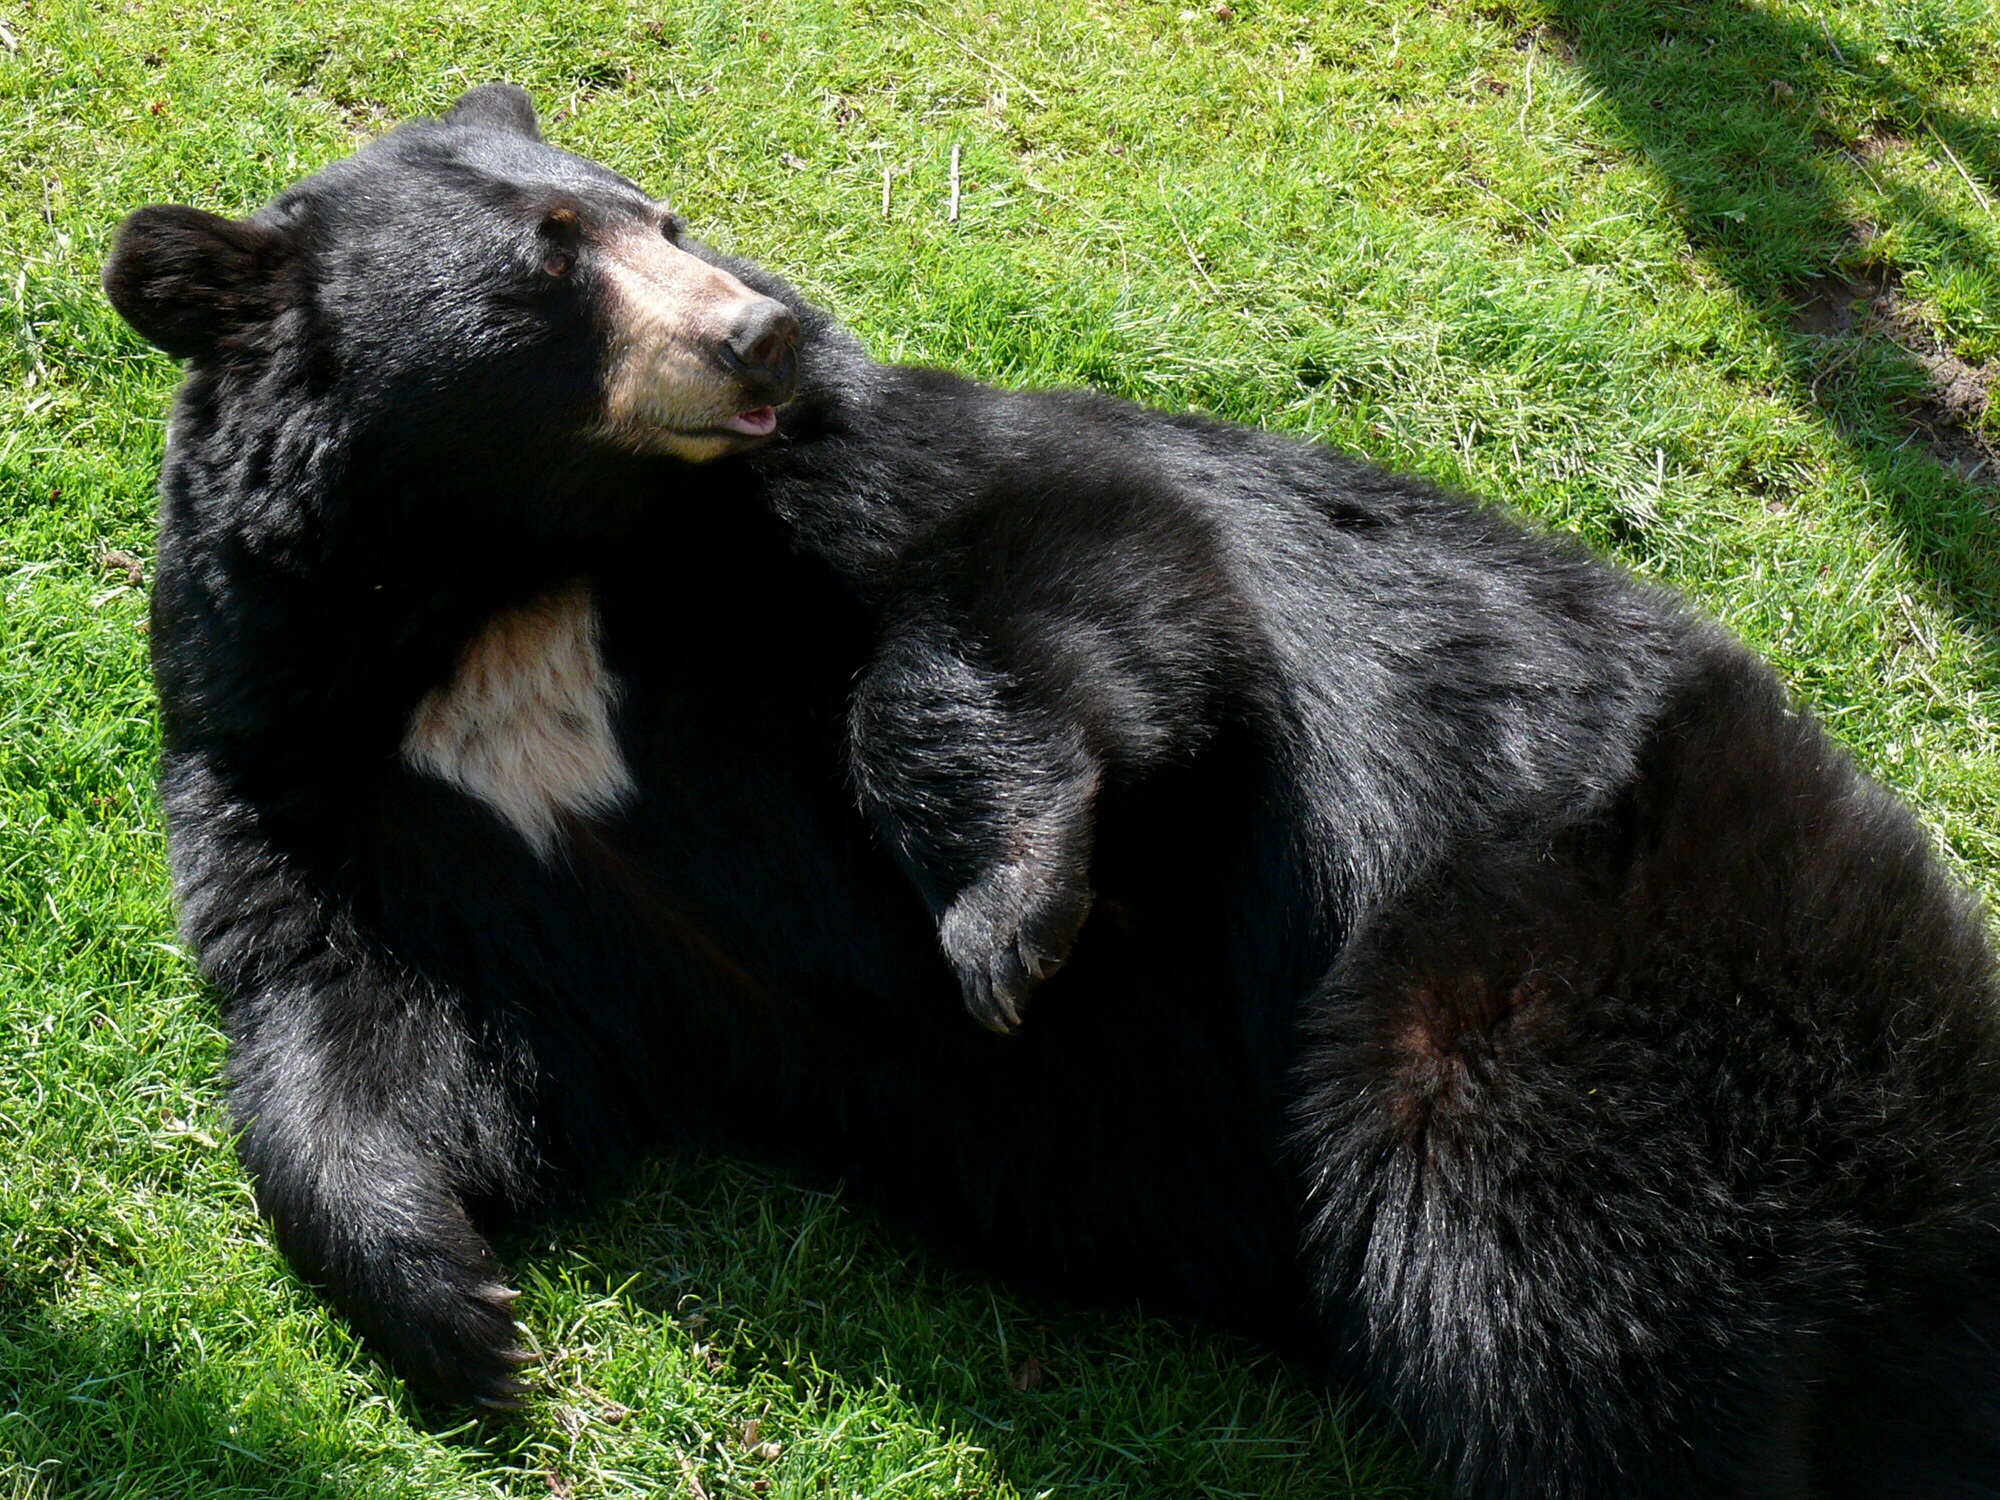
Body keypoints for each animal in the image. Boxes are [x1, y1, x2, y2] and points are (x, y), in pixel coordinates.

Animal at [101, 84, 2000, 1497]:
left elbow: (1074, 574)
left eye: (663, 218)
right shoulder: (317, 761)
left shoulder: (860, 490)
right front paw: (465, 1312)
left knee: (1573, 1294)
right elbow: (370, 1007)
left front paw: (1011, 927)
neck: (506, 577)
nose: (762, 330)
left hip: (1588, 981)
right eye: (551, 263)